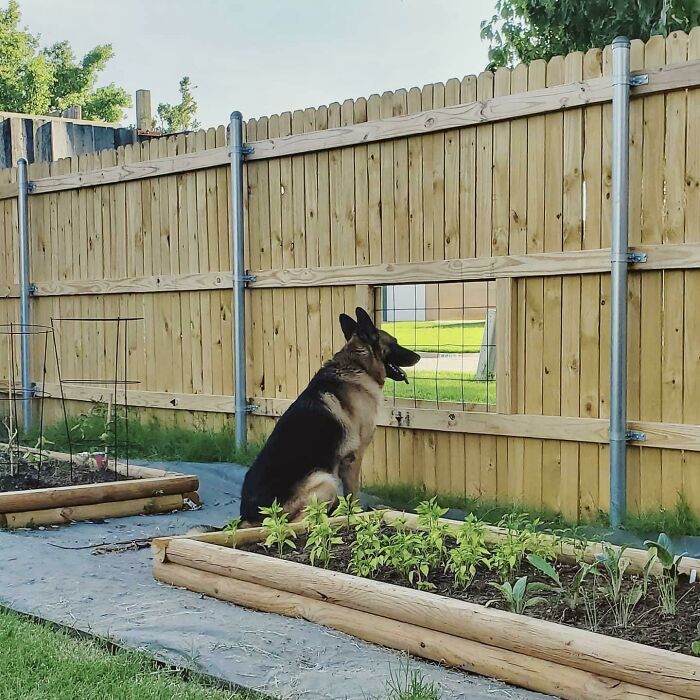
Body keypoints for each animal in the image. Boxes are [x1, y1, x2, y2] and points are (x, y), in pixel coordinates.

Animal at [238, 306, 418, 524]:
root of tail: (248, 516)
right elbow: (353, 494)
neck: (357, 365)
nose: (419, 356)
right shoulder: (353, 458)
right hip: (325, 480)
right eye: (395, 343)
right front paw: (356, 516)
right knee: (302, 521)